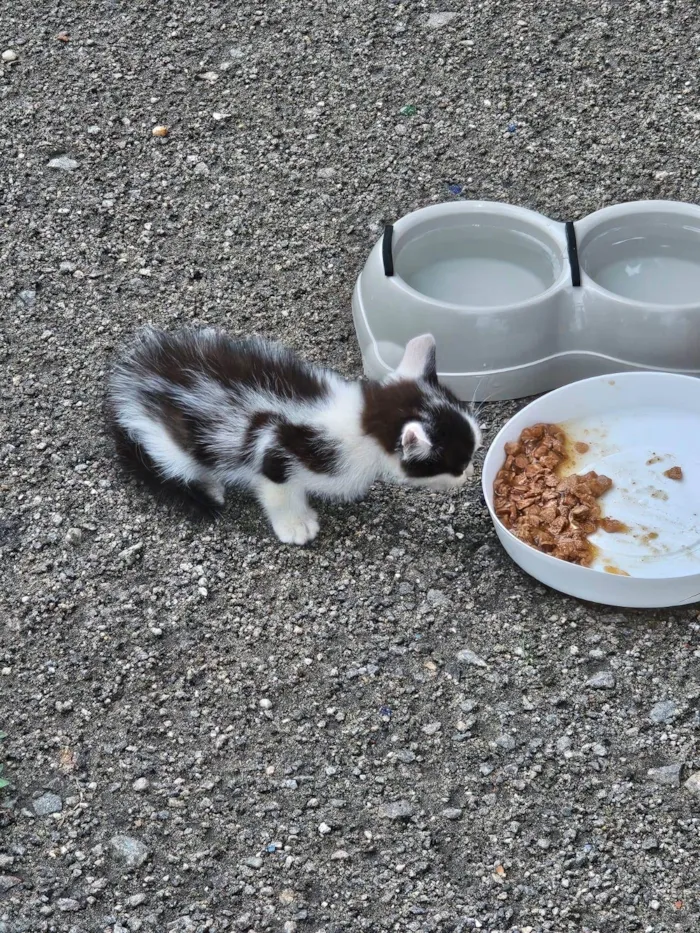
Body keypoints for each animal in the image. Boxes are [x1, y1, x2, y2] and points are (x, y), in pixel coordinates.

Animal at [105, 330, 482, 544]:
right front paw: (296, 525)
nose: (469, 475)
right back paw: (208, 487)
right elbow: (277, 489)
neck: (361, 421)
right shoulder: (276, 448)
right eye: (457, 463)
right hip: (170, 440)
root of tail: (133, 383)